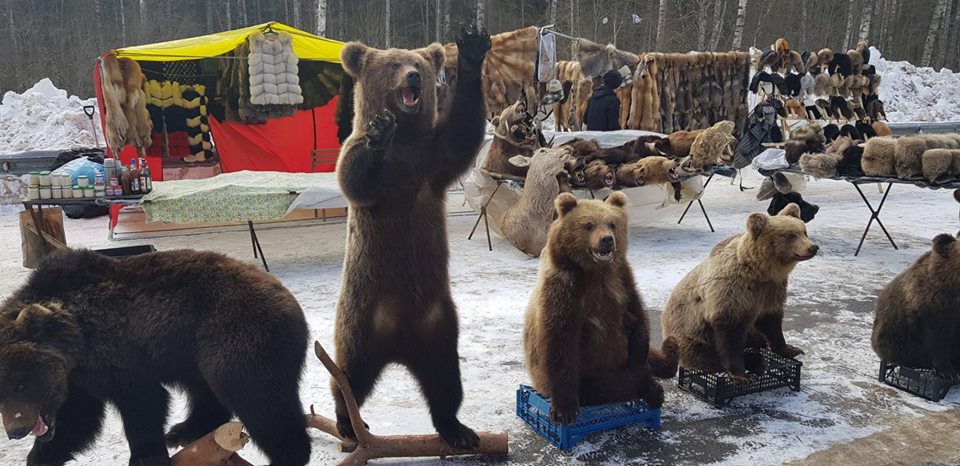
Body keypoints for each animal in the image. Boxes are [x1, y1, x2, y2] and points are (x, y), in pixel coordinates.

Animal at [0, 249, 310, 466]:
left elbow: (142, 401)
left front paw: (145, 455)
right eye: (3, 393)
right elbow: (76, 419)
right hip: (194, 352)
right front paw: (40, 455)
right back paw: (183, 431)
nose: (16, 430)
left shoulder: (115, 355)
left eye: (21, 384)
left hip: (235, 338)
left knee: (260, 401)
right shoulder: (78, 379)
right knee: (207, 392)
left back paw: (287, 454)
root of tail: (289, 299)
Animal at [333, 25, 490, 449]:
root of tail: (400, 345)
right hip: (363, 317)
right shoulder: (377, 177)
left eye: (417, 62)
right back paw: (347, 423)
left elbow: (462, 134)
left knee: (445, 381)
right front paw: (378, 135)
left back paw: (458, 429)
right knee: (349, 375)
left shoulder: (431, 164)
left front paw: (472, 50)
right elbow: (353, 175)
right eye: (392, 64)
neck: (405, 147)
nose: (414, 77)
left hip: (440, 326)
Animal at [523, 192, 678, 423]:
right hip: (586, 375)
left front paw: (640, 360)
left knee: (649, 359)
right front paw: (564, 410)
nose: (607, 239)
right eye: (588, 225)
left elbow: (638, 318)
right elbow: (561, 340)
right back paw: (651, 387)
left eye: (612, 223)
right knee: (608, 386)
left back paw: (670, 351)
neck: (596, 272)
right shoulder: (565, 290)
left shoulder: (622, 282)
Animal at [662, 204, 819, 383]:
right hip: (689, 338)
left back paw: (758, 342)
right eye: (791, 235)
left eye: (804, 231)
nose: (813, 247)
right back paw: (756, 361)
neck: (760, 270)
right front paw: (740, 374)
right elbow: (731, 334)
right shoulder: (732, 290)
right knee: (704, 355)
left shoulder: (771, 289)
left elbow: (771, 322)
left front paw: (792, 349)